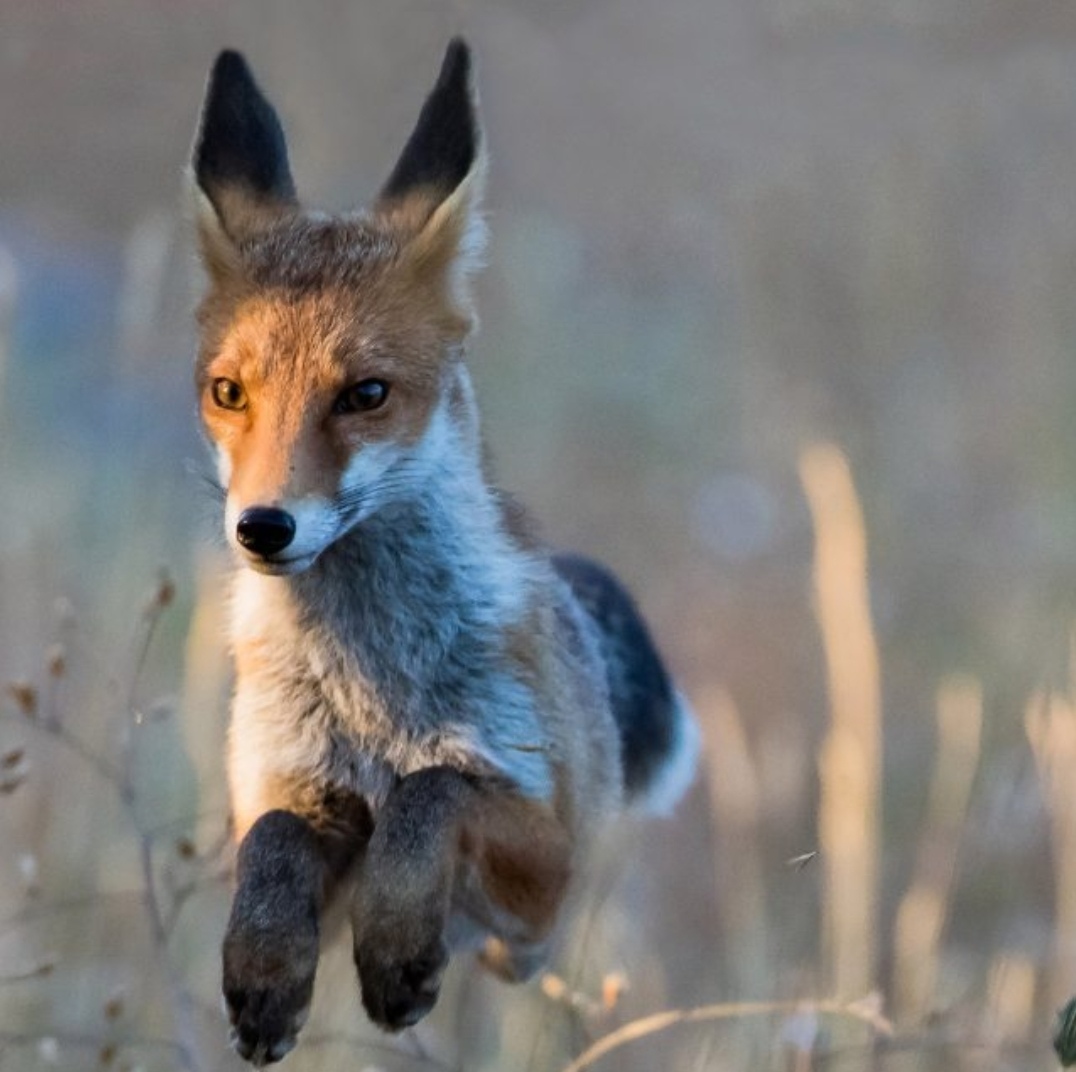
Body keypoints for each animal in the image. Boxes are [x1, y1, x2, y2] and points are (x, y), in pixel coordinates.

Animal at [190, 39, 701, 1063]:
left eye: (365, 394)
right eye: (229, 392)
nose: (263, 526)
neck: (371, 696)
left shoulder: (544, 863)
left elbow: (434, 793)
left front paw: (395, 952)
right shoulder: (295, 799)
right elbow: (272, 836)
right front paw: (262, 976)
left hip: (530, 940)